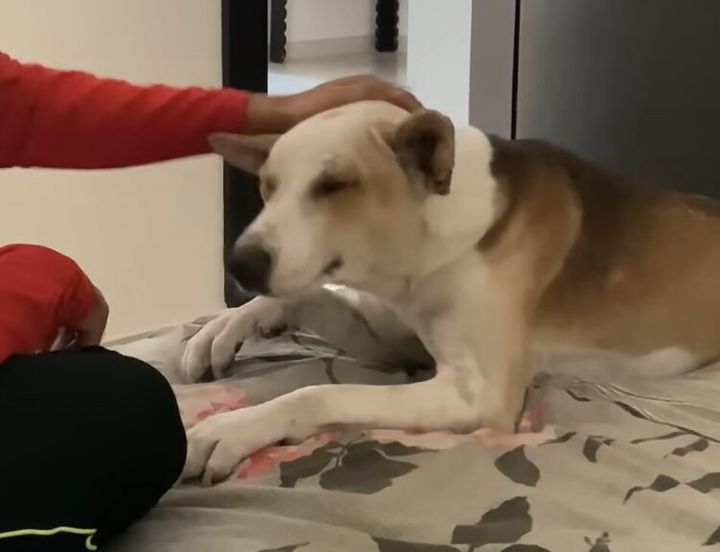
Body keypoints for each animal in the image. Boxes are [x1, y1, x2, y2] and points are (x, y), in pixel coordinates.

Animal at [180, 101, 720, 484]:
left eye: (334, 184)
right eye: (268, 186)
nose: (240, 263)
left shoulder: (478, 395)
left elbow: (319, 393)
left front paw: (234, 428)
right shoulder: (395, 344)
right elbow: (303, 297)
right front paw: (227, 326)